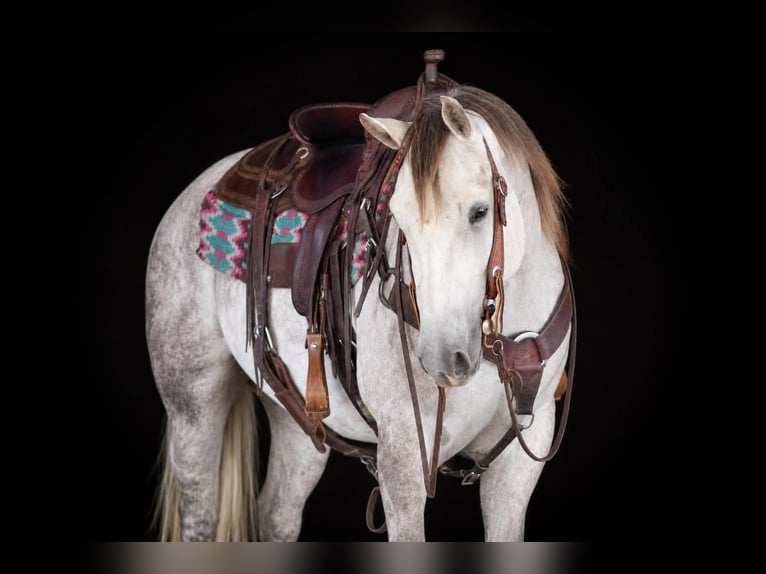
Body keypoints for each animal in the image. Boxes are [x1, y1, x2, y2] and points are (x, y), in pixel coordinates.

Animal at [145, 59, 575, 541]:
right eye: (400, 218)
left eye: (480, 212)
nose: (442, 359)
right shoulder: (403, 458)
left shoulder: (523, 456)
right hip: (192, 405)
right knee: (200, 517)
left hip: (297, 420)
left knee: (278, 512)